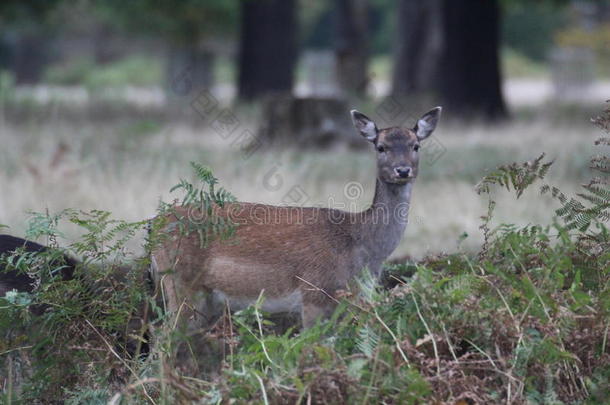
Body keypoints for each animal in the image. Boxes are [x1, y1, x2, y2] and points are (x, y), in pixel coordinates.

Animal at [150, 106, 440, 328]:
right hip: (179, 281)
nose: (402, 170)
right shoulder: (313, 293)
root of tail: (155, 226)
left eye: (416, 145)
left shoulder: (358, 298)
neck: (363, 252)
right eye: (381, 147)